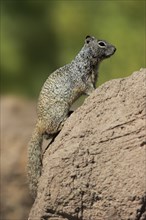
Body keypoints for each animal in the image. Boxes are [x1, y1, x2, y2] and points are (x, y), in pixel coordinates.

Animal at [27, 34, 116, 198]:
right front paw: (97, 93)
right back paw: (66, 120)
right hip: (59, 109)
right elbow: (90, 90)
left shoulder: (93, 78)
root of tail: (39, 123)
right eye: (101, 43)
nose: (115, 49)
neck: (87, 61)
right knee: (52, 131)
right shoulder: (84, 81)